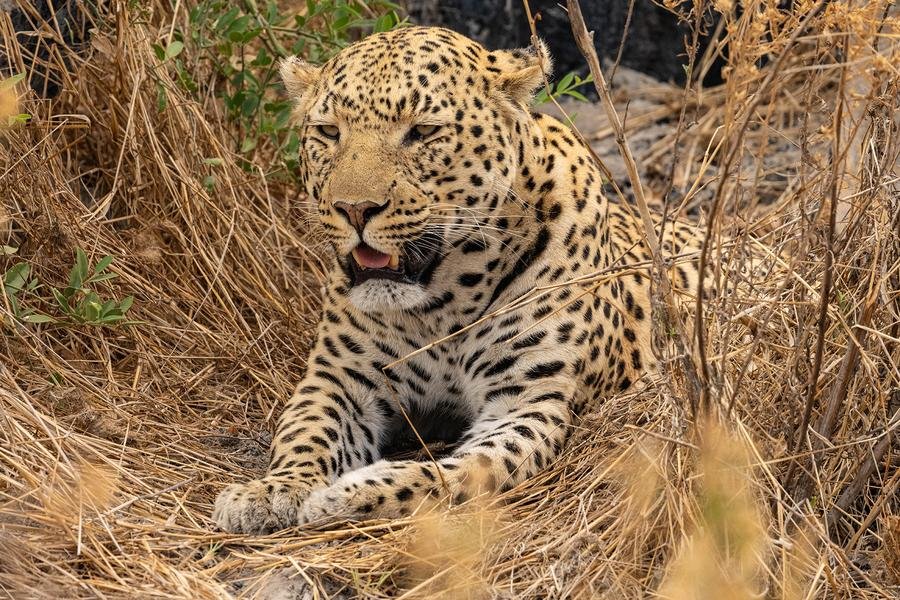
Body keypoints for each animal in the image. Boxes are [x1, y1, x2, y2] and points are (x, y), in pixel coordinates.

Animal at [212, 25, 705, 534]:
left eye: (422, 132)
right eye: (329, 132)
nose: (354, 209)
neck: (444, 303)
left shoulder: (530, 402)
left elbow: (460, 473)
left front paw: (351, 494)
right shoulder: (340, 379)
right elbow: (306, 432)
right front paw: (271, 491)